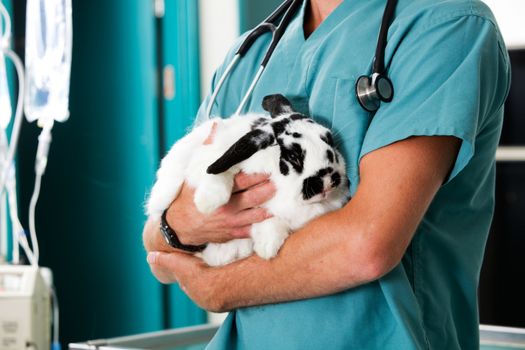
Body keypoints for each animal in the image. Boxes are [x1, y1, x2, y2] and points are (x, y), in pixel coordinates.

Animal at [146, 94, 348, 266]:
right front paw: (208, 203)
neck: (283, 187)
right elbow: (218, 173)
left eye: (330, 141)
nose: (327, 181)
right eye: (293, 156)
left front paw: (267, 247)